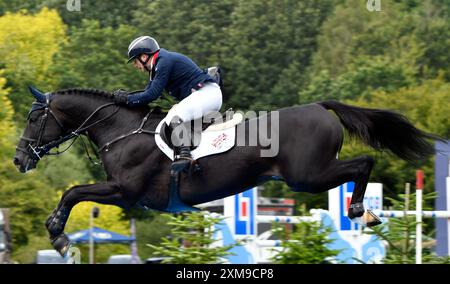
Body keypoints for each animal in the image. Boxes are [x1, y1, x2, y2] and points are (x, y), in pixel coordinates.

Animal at [13, 86, 436, 255]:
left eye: (35, 118)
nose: (19, 160)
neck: (120, 129)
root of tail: (319, 107)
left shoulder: (125, 190)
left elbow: (73, 191)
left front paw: (58, 236)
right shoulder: (125, 193)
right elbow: (73, 192)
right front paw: (57, 233)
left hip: (307, 176)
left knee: (364, 163)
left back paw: (361, 211)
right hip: (310, 175)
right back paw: (365, 213)